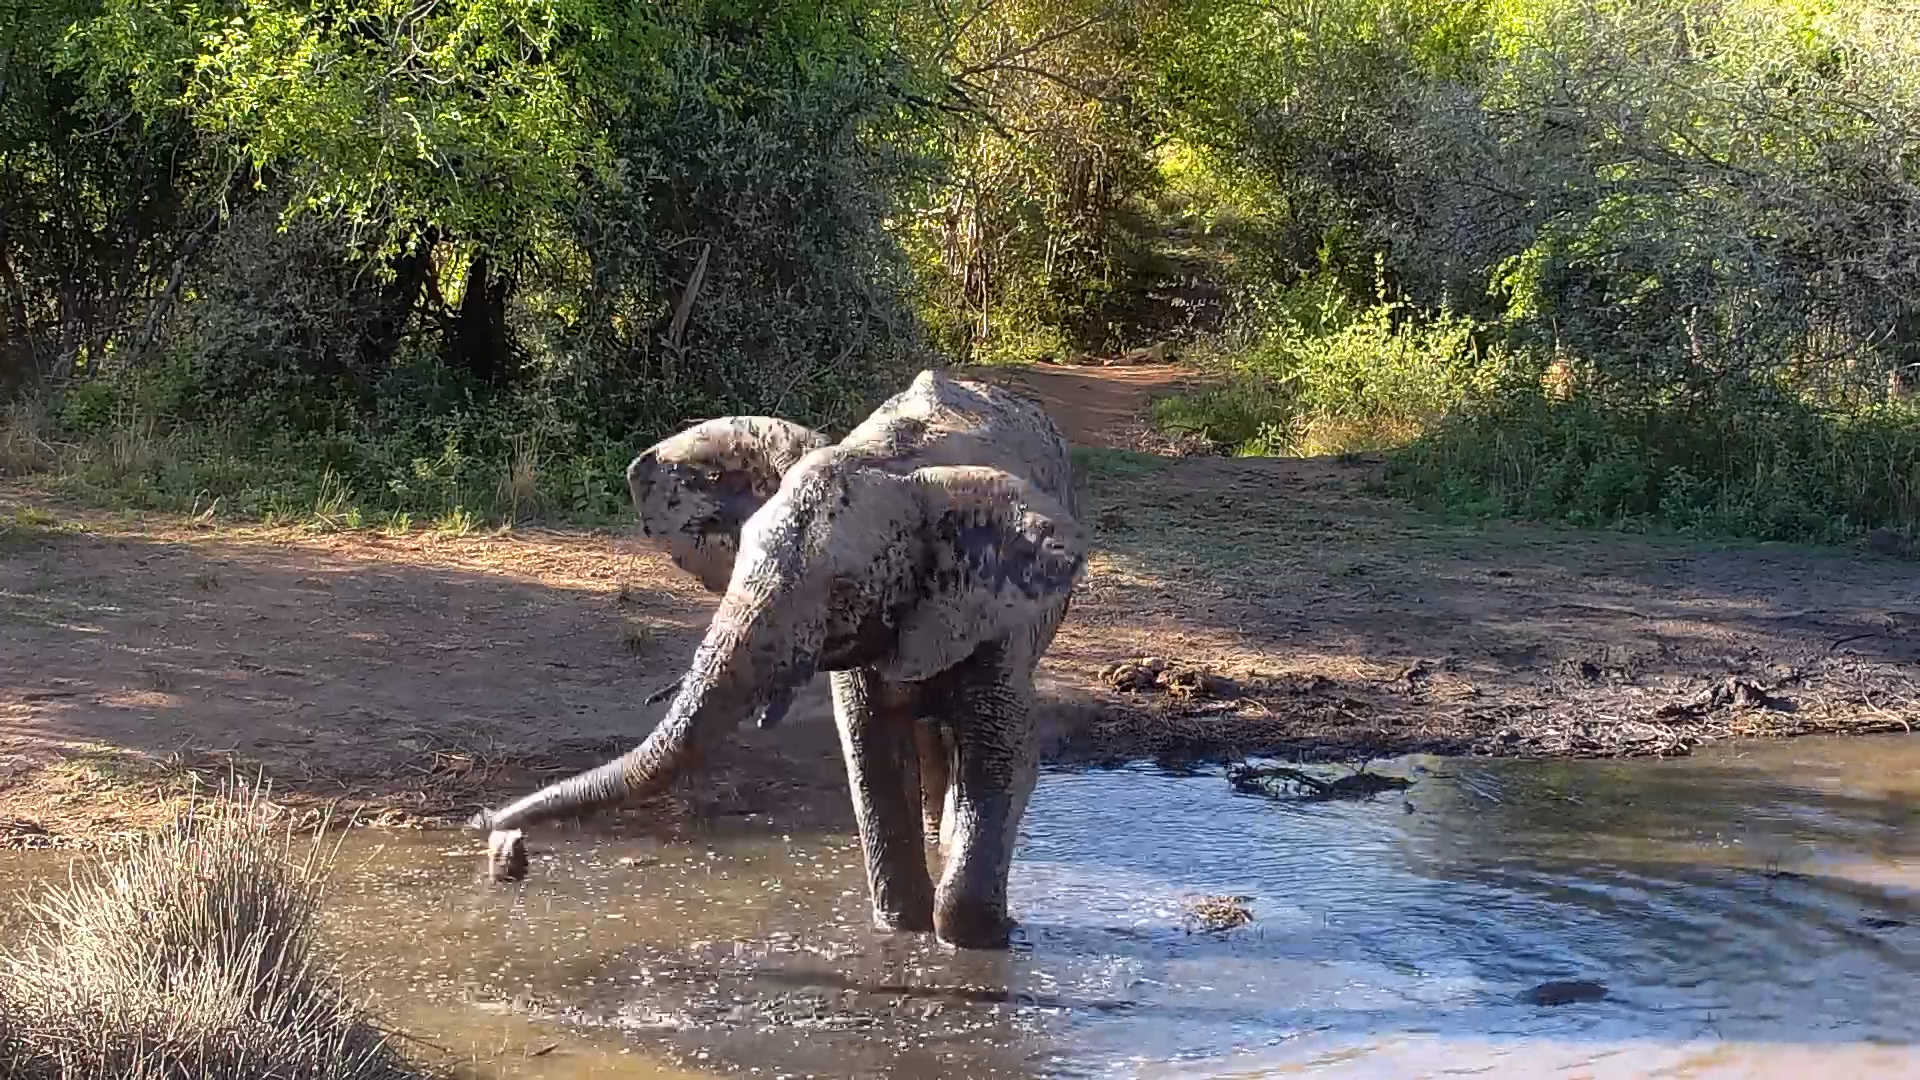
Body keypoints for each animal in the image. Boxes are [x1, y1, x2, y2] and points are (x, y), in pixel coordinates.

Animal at [470, 369, 1088, 949]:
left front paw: (985, 939)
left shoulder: (997, 615)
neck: (891, 462)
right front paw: (900, 929)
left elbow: (1003, 754)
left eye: (843, 593)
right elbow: (871, 757)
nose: (490, 831)